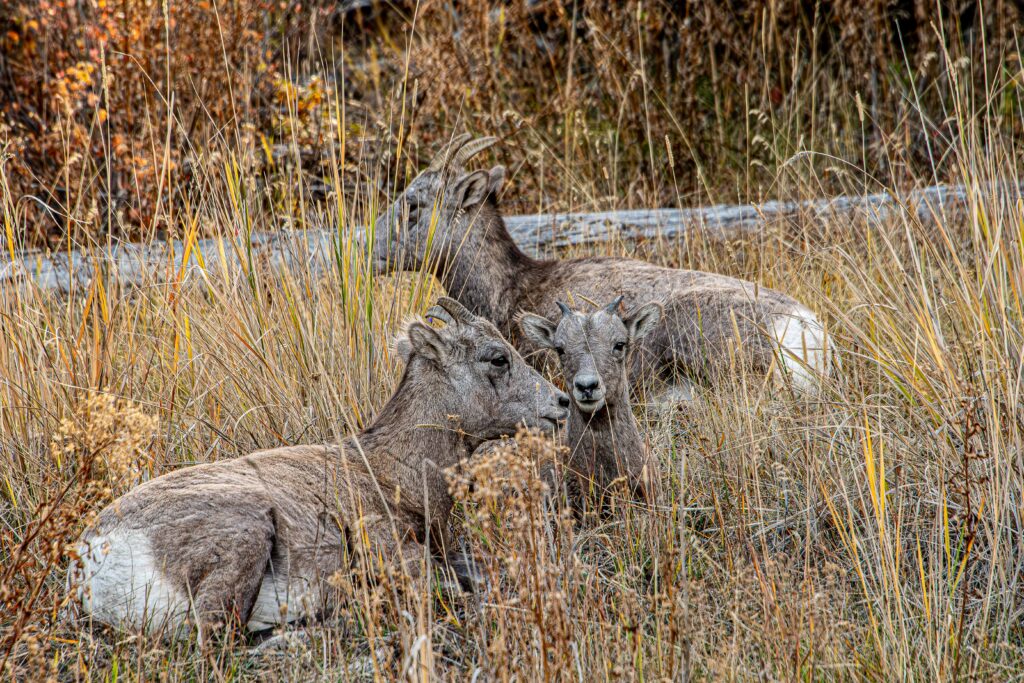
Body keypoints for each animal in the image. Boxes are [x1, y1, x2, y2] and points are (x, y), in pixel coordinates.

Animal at [74, 296, 569, 638]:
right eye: (498, 357)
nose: (562, 403)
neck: (393, 473)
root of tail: (92, 560)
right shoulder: (402, 557)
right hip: (246, 536)